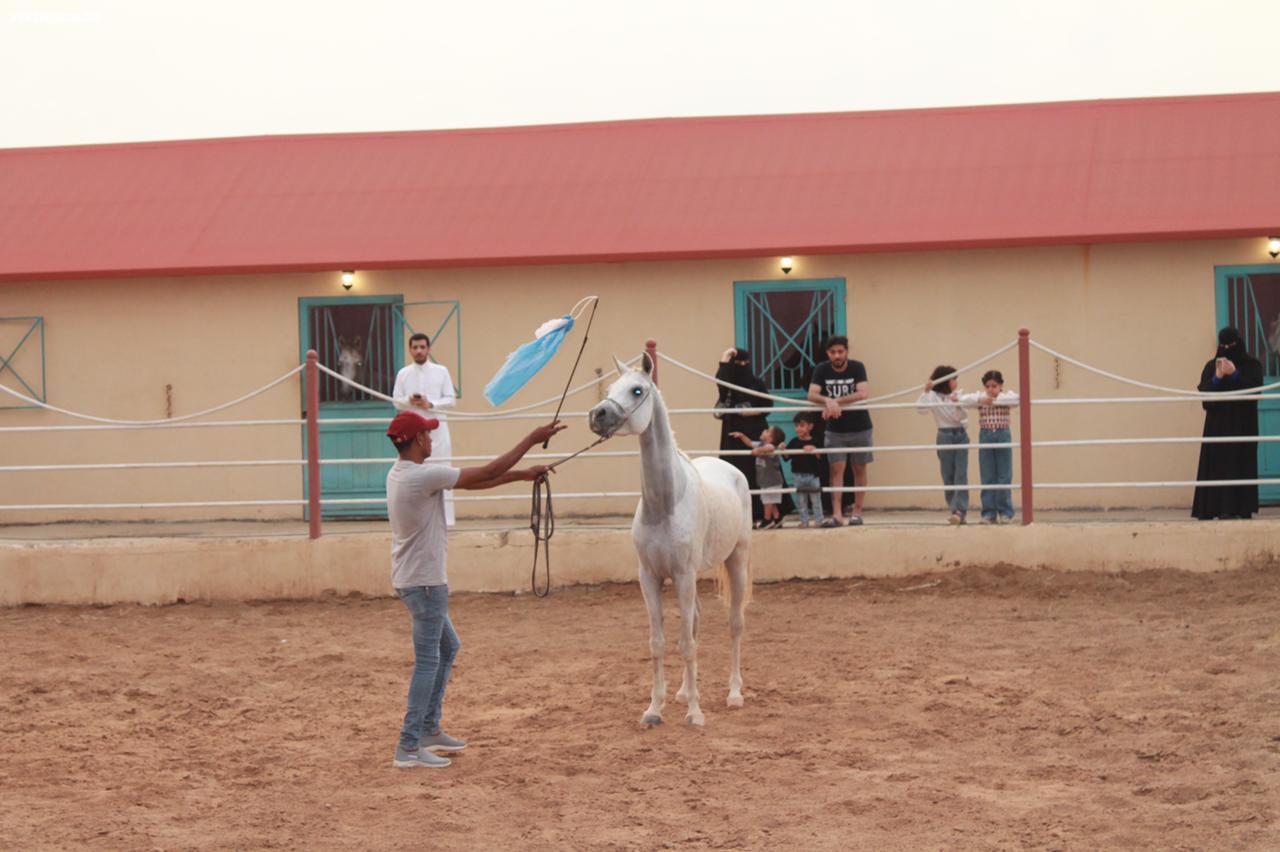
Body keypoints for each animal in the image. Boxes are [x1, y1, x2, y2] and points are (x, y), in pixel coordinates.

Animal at [586, 350, 752, 721]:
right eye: (611, 387)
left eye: (636, 390)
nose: (597, 414)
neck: (665, 504)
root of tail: (732, 469)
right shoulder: (650, 577)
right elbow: (659, 642)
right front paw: (655, 708)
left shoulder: (683, 575)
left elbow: (686, 643)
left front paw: (695, 714)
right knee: (697, 622)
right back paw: (684, 691)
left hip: (735, 560)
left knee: (735, 624)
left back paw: (734, 693)